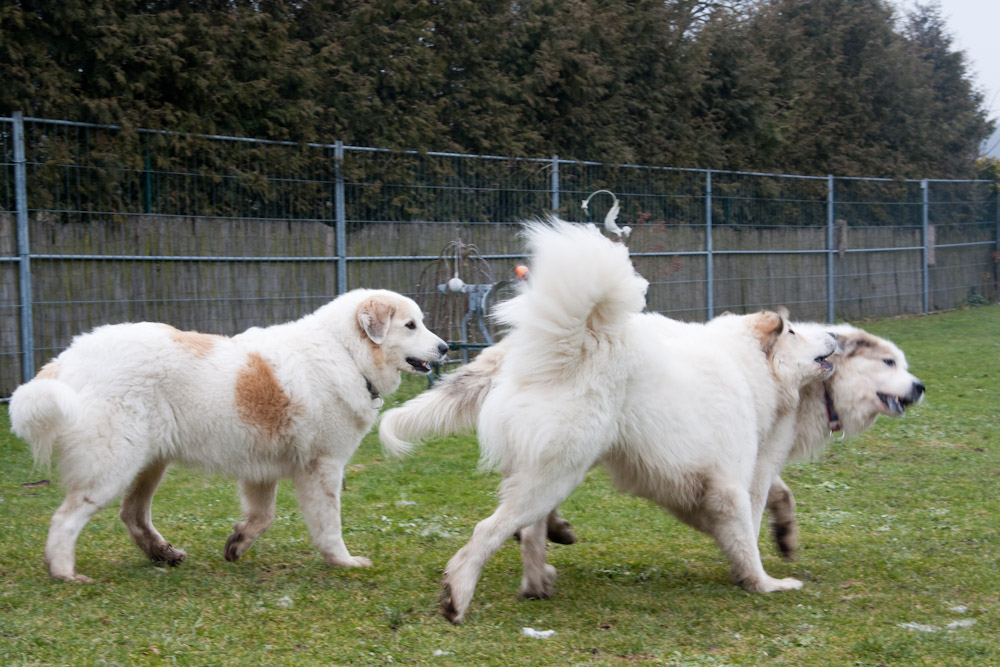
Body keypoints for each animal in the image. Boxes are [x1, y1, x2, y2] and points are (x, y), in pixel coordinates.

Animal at [9, 290, 448, 580]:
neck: (345, 353)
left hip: (150, 464)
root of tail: (67, 359)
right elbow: (329, 525)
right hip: (112, 466)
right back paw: (65, 572)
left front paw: (237, 543)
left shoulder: (262, 470)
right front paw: (343, 562)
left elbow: (262, 516)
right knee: (65, 518)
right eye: (410, 325)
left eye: (422, 322)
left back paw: (163, 554)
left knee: (132, 514)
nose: (444, 348)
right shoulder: (322, 468)